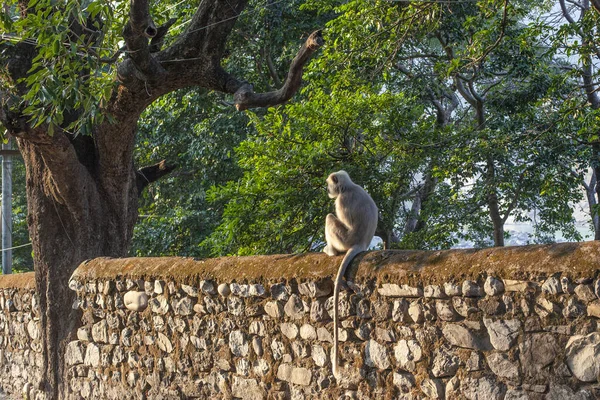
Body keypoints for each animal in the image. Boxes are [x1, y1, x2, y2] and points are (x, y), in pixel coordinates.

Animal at [322, 170, 378, 380]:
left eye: (329, 185)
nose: (328, 190)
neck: (349, 187)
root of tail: (360, 244)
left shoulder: (342, 200)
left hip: (343, 239)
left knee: (330, 218)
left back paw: (331, 250)